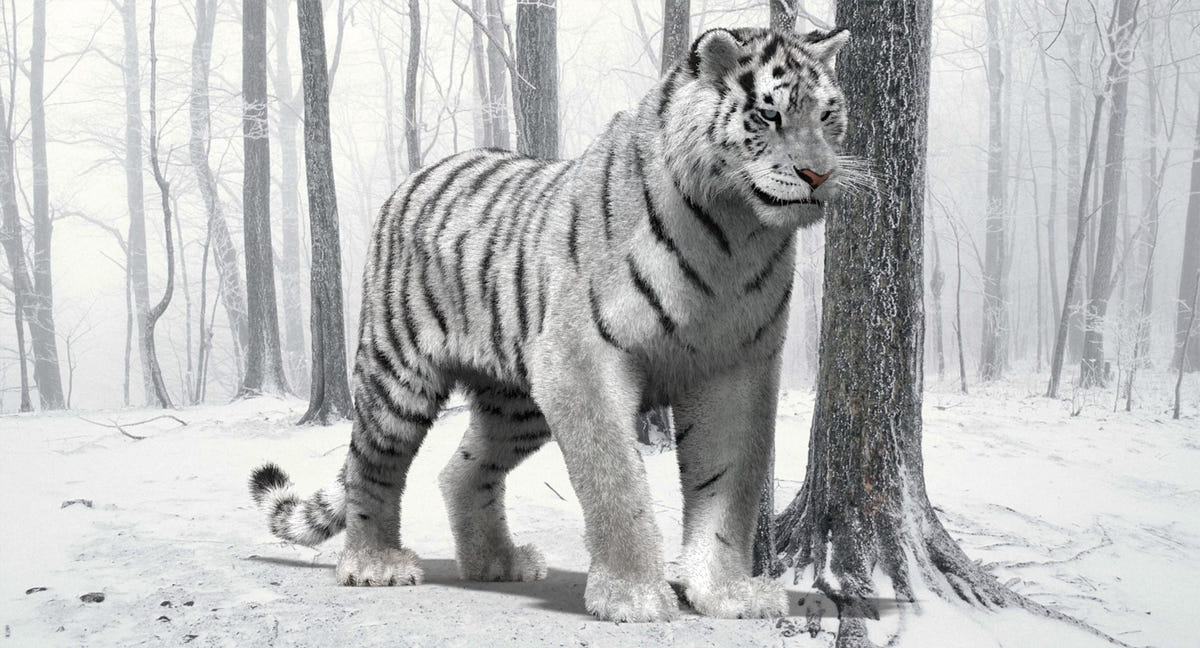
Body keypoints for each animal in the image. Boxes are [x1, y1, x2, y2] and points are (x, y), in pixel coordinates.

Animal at [250, 26, 855, 622]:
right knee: (371, 467)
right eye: (770, 115)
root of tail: (417, 175)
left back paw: (497, 564)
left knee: (462, 471)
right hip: (398, 373)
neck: (735, 234)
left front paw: (726, 593)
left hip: (517, 403)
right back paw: (374, 564)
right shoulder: (580, 361)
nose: (819, 174)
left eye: (828, 116)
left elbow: (728, 487)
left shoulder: (736, 366)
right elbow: (616, 482)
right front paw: (633, 596)